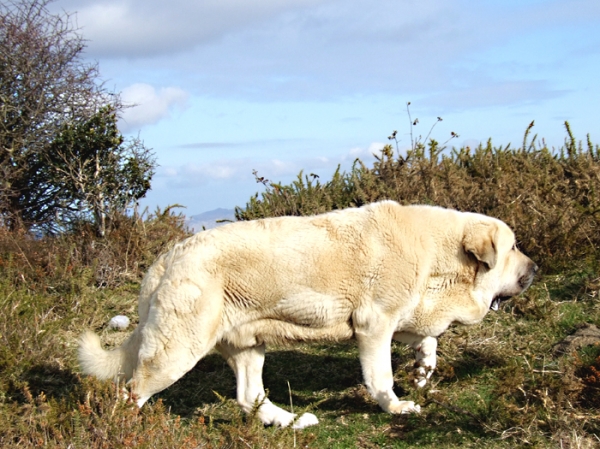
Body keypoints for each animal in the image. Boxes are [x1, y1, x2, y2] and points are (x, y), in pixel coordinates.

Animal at [77, 201, 536, 428]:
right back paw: (121, 432)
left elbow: (427, 339)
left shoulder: (404, 313)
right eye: (513, 248)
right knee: (130, 393)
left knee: (248, 396)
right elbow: (381, 378)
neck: (439, 255)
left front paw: (424, 368)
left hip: (247, 345)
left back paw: (291, 421)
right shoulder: (374, 325)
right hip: (176, 353)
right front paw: (396, 406)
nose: (535, 269)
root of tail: (166, 258)